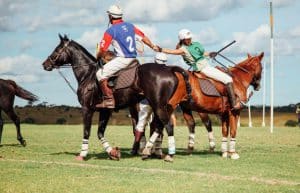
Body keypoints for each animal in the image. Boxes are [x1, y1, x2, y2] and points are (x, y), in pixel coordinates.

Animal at [41, 34, 190, 161]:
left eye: (57, 49)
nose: (45, 64)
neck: (87, 74)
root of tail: (169, 69)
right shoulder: (105, 110)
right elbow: (100, 133)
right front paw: (113, 152)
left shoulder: (87, 108)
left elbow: (87, 131)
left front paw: (82, 154)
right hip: (160, 105)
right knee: (158, 126)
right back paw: (149, 151)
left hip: (158, 105)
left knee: (168, 125)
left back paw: (168, 155)